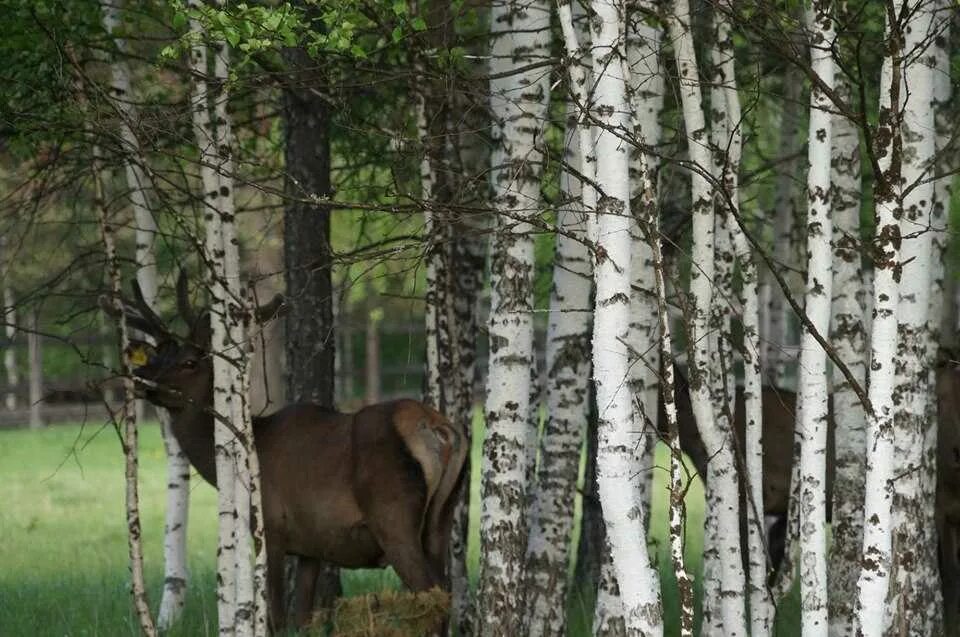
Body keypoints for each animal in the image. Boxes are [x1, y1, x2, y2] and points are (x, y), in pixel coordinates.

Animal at [103, 274, 466, 632]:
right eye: (156, 357)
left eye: (189, 362)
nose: (140, 378)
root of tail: (440, 430)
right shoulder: (311, 546)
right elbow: (303, 617)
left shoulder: (272, 529)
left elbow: (277, 618)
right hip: (440, 517)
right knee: (447, 589)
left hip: (393, 516)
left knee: (432, 594)